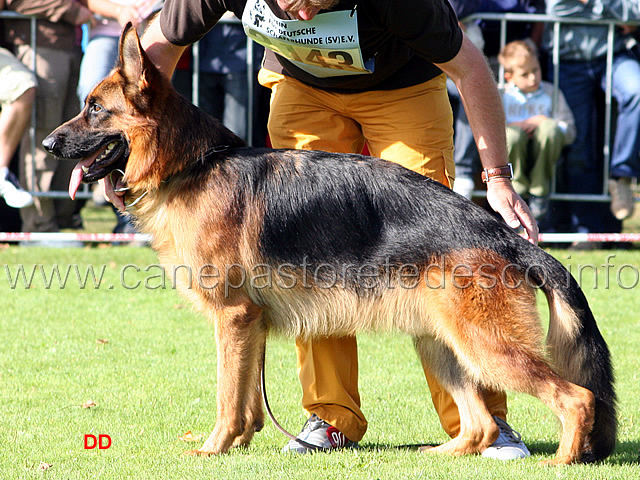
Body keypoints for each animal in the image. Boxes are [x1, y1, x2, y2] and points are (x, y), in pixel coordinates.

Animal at [43, 24, 616, 464]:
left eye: (94, 109)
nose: (48, 143)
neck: (193, 165)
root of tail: (504, 234)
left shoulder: (233, 318)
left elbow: (227, 396)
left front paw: (212, 448)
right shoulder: (249, 325)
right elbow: (247, 398)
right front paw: (241, 444)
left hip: (485, 346)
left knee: (575, 397)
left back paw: (562, 461)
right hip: (440, 344)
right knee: (481, 425)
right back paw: (443, 454)